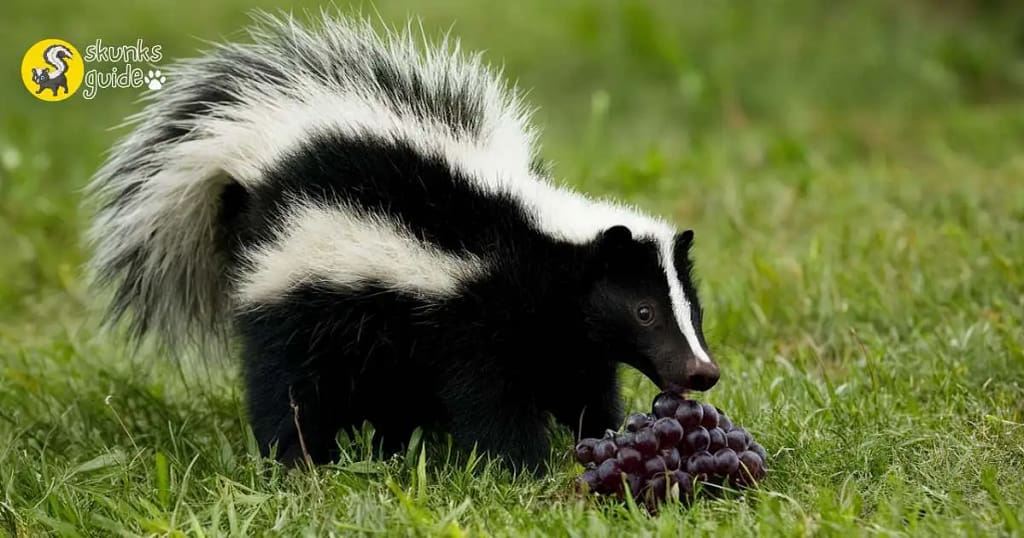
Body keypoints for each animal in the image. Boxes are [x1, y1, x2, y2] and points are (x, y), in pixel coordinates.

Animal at [83, 11, 716, 469]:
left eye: (695, 311)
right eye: (643, 311)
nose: (702, 373)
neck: (530, 241)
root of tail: (263, 157)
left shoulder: (565, 334)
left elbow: (583, 383)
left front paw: (608, 436)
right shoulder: (475, 313)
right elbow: (492, 400)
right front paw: (527, 466)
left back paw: (386, 450)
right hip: (298, 295)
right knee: (287, 384)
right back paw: (300, 460)